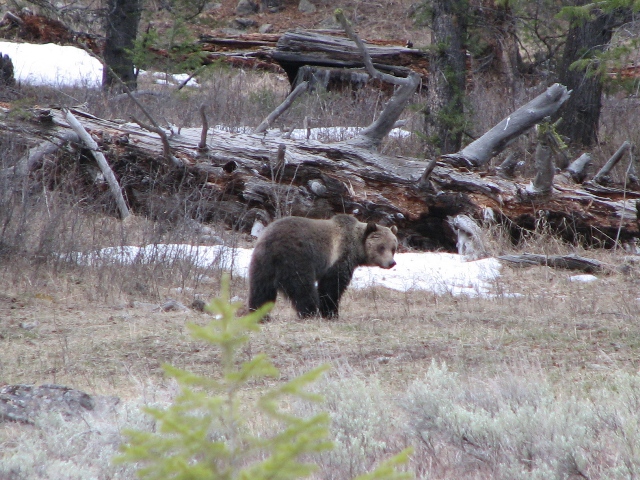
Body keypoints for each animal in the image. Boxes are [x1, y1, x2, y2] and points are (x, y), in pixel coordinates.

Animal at [248, 216, 398, 316]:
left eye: (393, 248)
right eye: (381, 247)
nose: (391, 263)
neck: (356, 248)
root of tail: (271, 242)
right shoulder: (338, 258)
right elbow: (331, 286)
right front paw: (331, 313)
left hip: (262, 262)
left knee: (261, 289)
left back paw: (258, 313)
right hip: (295, 257)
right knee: (302, 287)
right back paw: (310, 312)